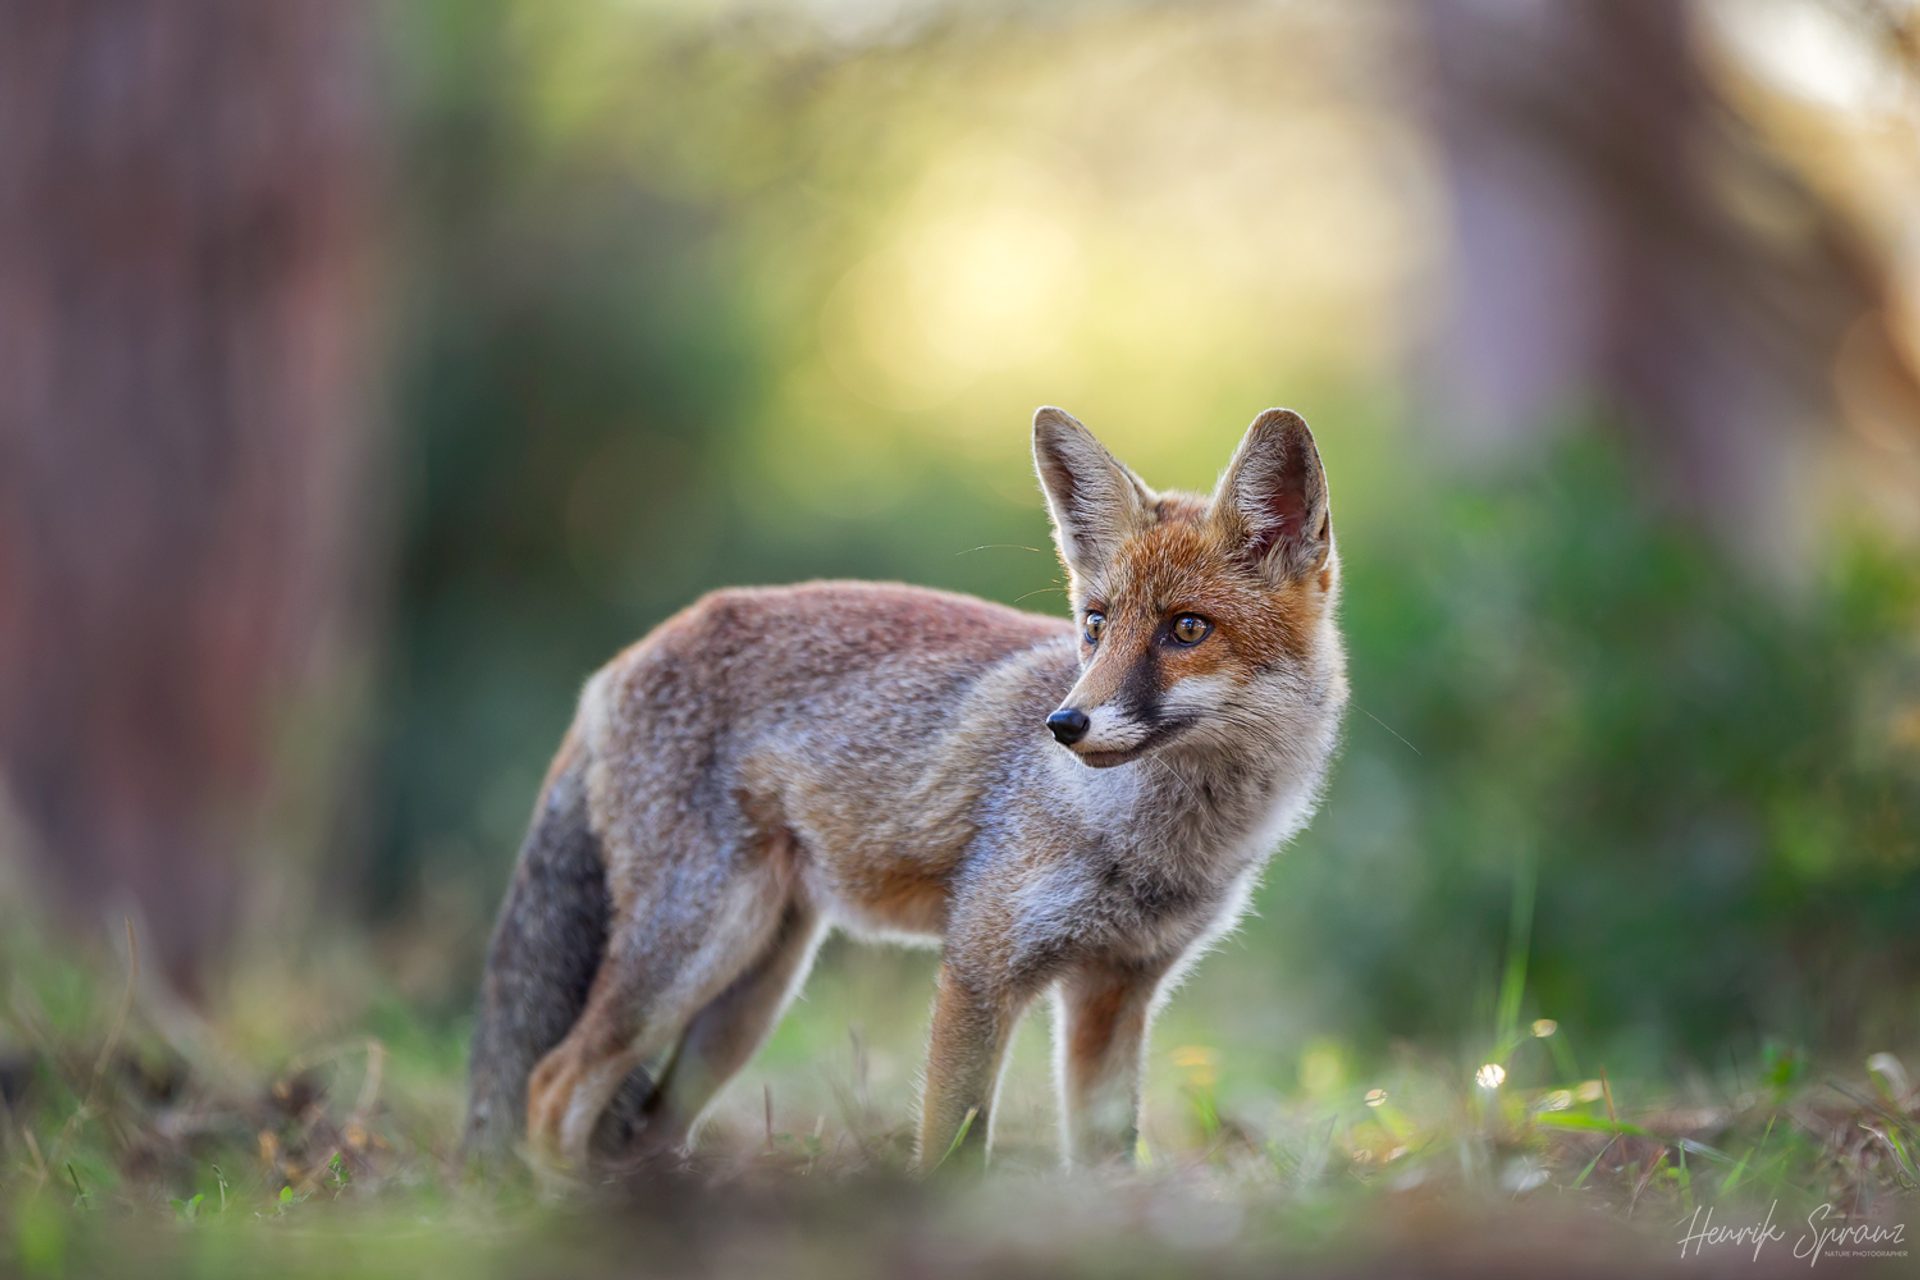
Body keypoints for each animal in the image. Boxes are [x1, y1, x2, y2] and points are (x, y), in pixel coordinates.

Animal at [464, 405, 1348, 1176]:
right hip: (690, 951)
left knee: (642, 1124)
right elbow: (952, 1156)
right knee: (551, 1086)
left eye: (1187, 629)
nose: (1065, 724)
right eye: (1096, 626)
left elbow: (1108, 1164)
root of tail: (619, 662)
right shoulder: (979, 969)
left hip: (748, 994)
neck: (1156, 841)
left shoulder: (1116, 990)